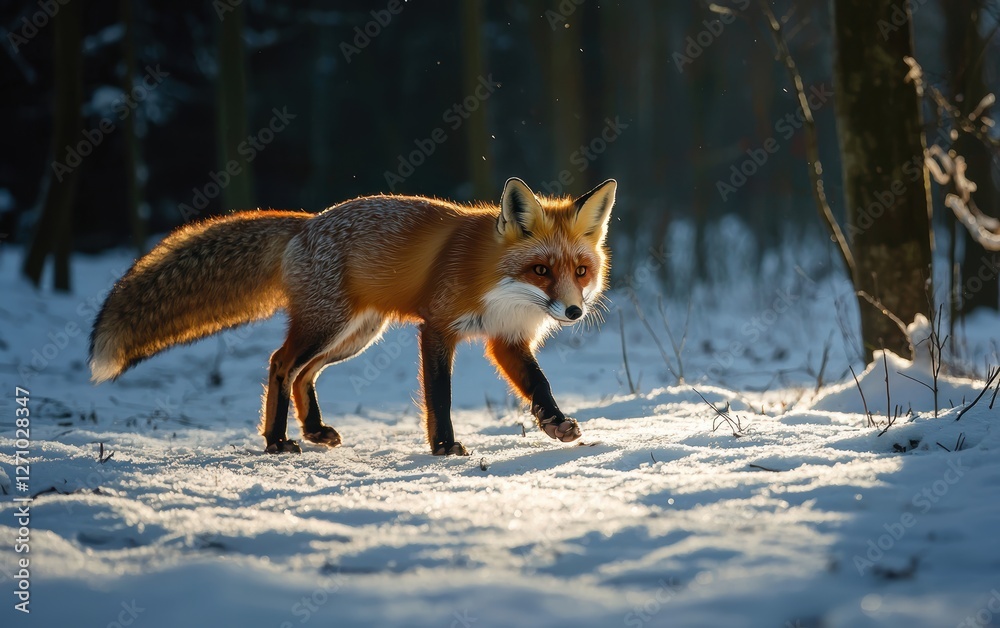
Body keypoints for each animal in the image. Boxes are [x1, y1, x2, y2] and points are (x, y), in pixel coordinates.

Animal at [90, 177, 616, 455]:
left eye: (581, 270)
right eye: (541, 270)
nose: (573, 311)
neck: (502, 288)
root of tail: (305, 223)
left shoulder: (506, 339)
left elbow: (538, 384)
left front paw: (554, 422)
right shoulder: (437, 328)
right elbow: (440, 397)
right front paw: (444, 448)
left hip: (355, 335)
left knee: (302, 375)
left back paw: (312, 431)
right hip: (328, 327)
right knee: (280, 363)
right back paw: (277, 441)